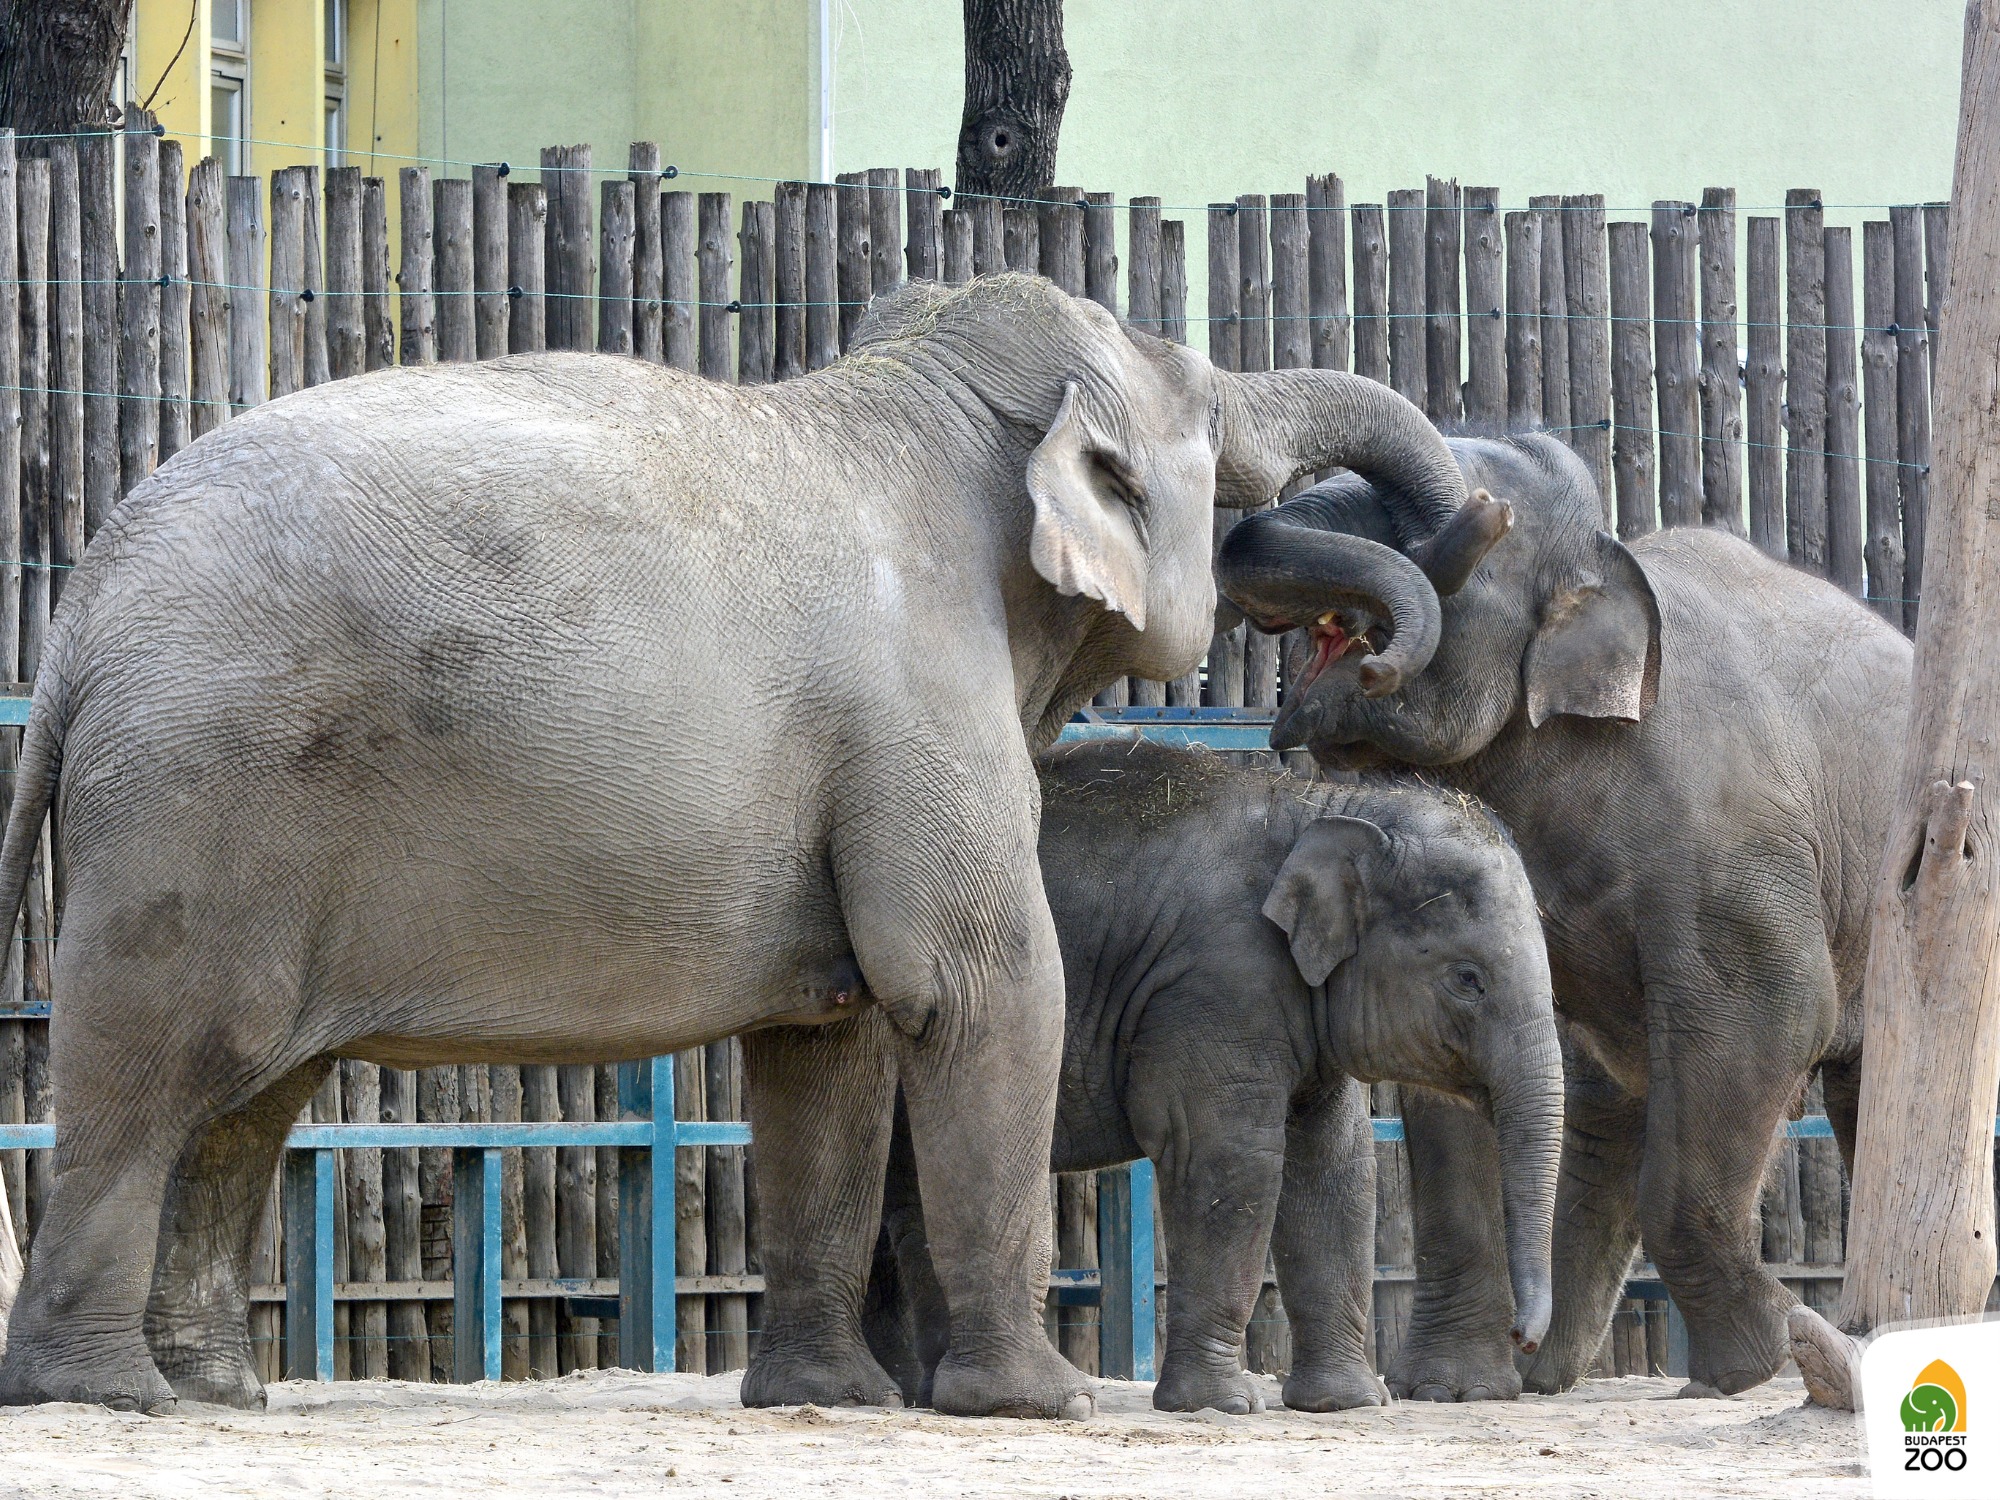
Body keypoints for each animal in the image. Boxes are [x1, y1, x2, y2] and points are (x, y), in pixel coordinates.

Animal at [0, 274, 1472, 1424]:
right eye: (1206, 418)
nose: (1360, 647)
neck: (911, 400)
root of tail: (81, 616)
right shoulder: (923, 705)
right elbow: (979, 990)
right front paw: (1039, 1401)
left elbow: (832, 1045)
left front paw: (832, 1398)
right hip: (200, 798)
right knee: (161, 1066)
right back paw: (103, 1392)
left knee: (250, 1093)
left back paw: (211, 1393)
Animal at [872, 744, 1560, 1424]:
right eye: (1468, 979)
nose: (1525, 1341)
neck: (1320, 804)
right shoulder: (1217, 980)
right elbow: (1231, 1160)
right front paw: (1225, 1405)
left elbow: (1336, 1165)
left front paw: (1348, 1402)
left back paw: (925, 1390)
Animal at [1216, 432, 1904, 1400]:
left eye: (1471, 524)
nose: (1481, 515)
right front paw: (1457, 1390)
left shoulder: (1736, 843)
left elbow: (1773, 1012)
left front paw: (1750, 1365)